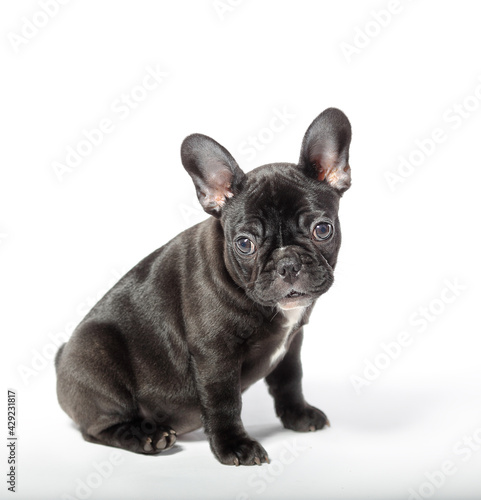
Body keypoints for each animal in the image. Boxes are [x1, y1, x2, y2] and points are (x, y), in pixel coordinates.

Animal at [54, 107, 352, 466]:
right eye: (244, 243)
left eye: (323, 229)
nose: (288, 263)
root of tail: (61, 358)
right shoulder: (215, 354)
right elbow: (224, 402)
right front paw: (234, 446)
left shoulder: (292, 342)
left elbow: (290, 379)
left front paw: (298, 414)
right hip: (96, 358)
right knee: (97, 428)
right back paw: (146, 437)